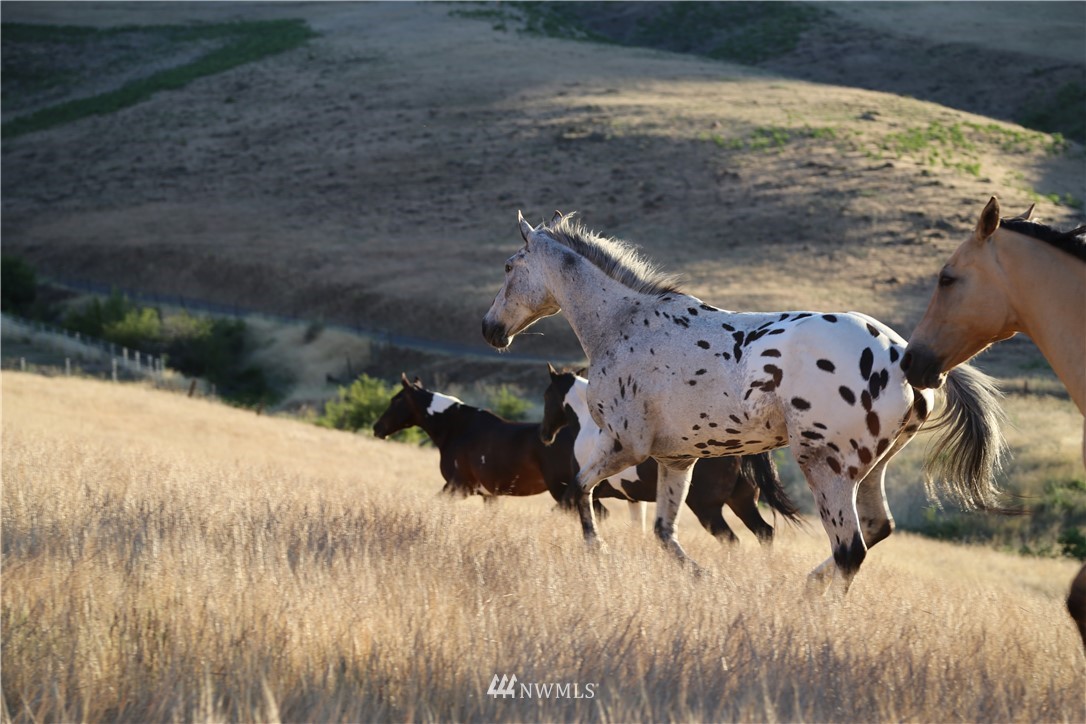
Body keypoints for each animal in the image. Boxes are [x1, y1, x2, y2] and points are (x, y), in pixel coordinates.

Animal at [540, 364, 803, 543]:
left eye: (546, 395)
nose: (545, 435)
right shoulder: (632, 498)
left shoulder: (588, 487)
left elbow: (565, 508)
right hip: (741, 501)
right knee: (764, 532)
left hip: (707, 508)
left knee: (732, 538)